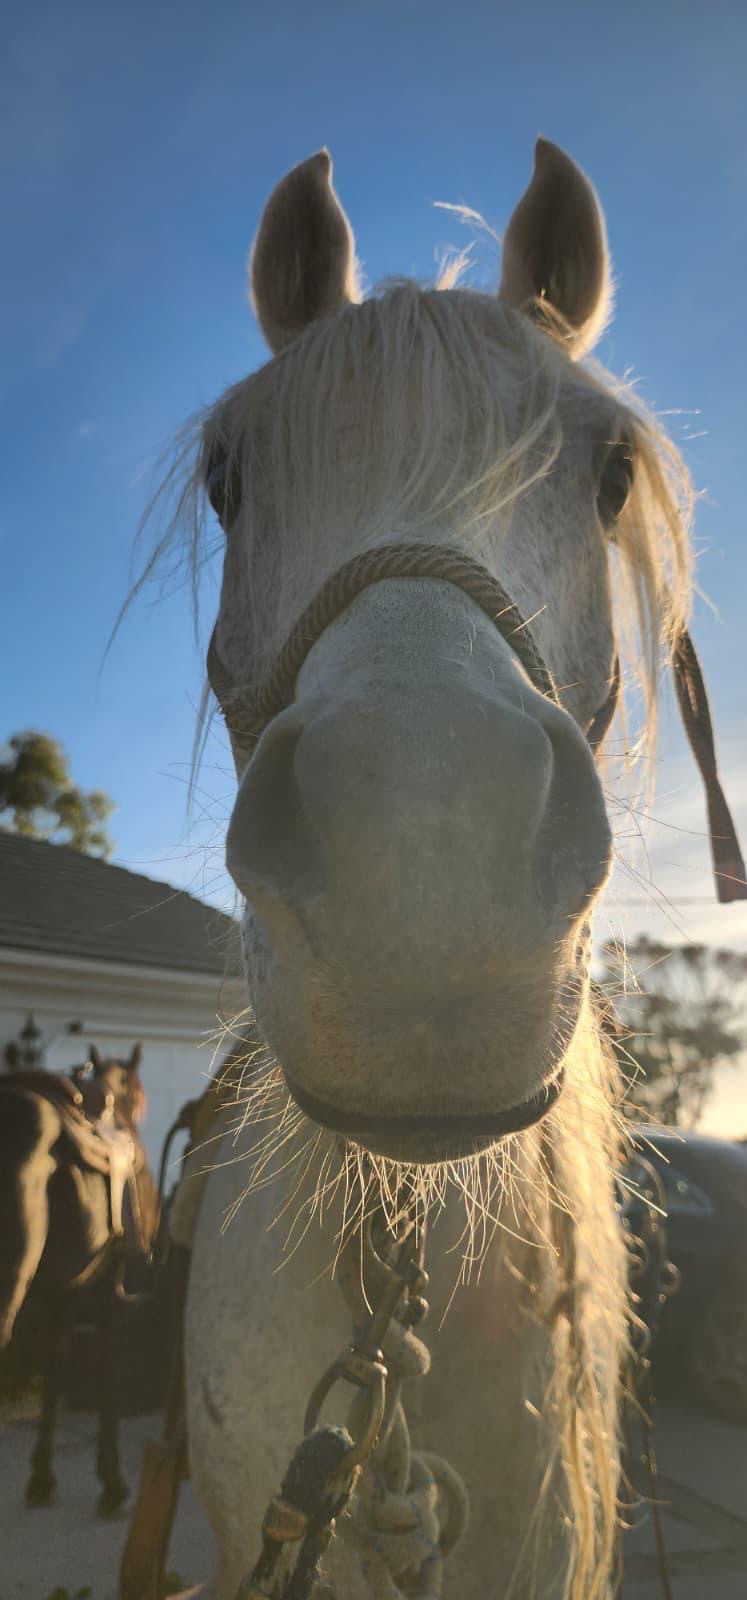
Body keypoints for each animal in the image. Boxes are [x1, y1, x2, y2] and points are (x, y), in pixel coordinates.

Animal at [0, 1043, 159, 1514]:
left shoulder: (62, 1290)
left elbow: (56, 1370)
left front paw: (40, 1477)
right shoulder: (108, 1287)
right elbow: (106, 1367)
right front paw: (112, 1482)